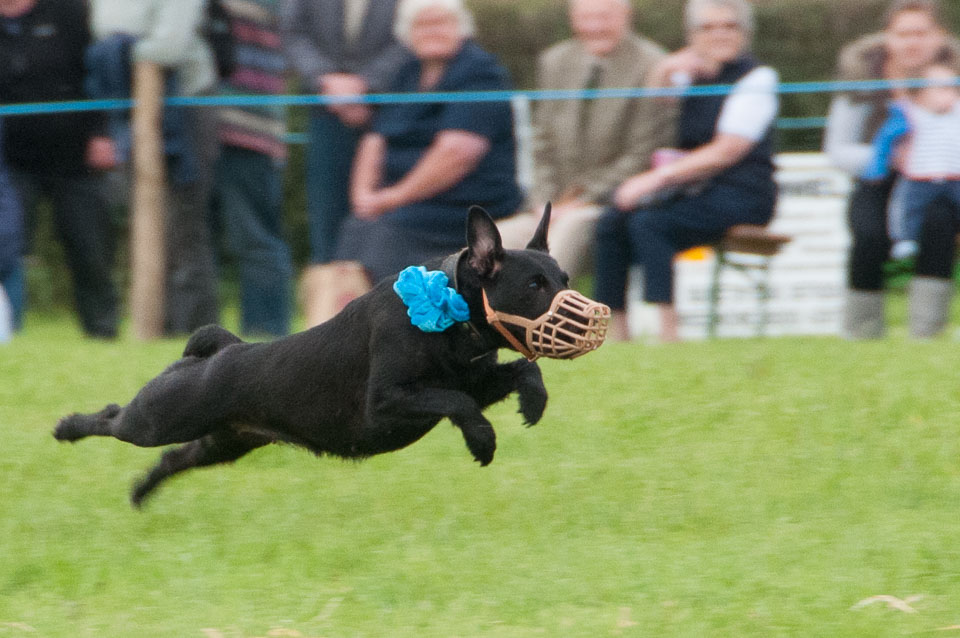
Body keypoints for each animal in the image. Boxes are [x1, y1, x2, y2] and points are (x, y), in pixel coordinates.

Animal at [52, 208, 608, 508]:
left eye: (563, 278)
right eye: (534, 285)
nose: (592, 313)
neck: (448, 310)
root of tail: (219, 350)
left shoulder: (477, 380)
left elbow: (522, 370)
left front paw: (532, 404)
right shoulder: (386, 401)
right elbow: (460, 403)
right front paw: (483, 442)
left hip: (223, 442)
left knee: (172, 460)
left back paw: (140, 494)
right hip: (160, 416)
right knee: (113, 418)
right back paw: (66, 428)